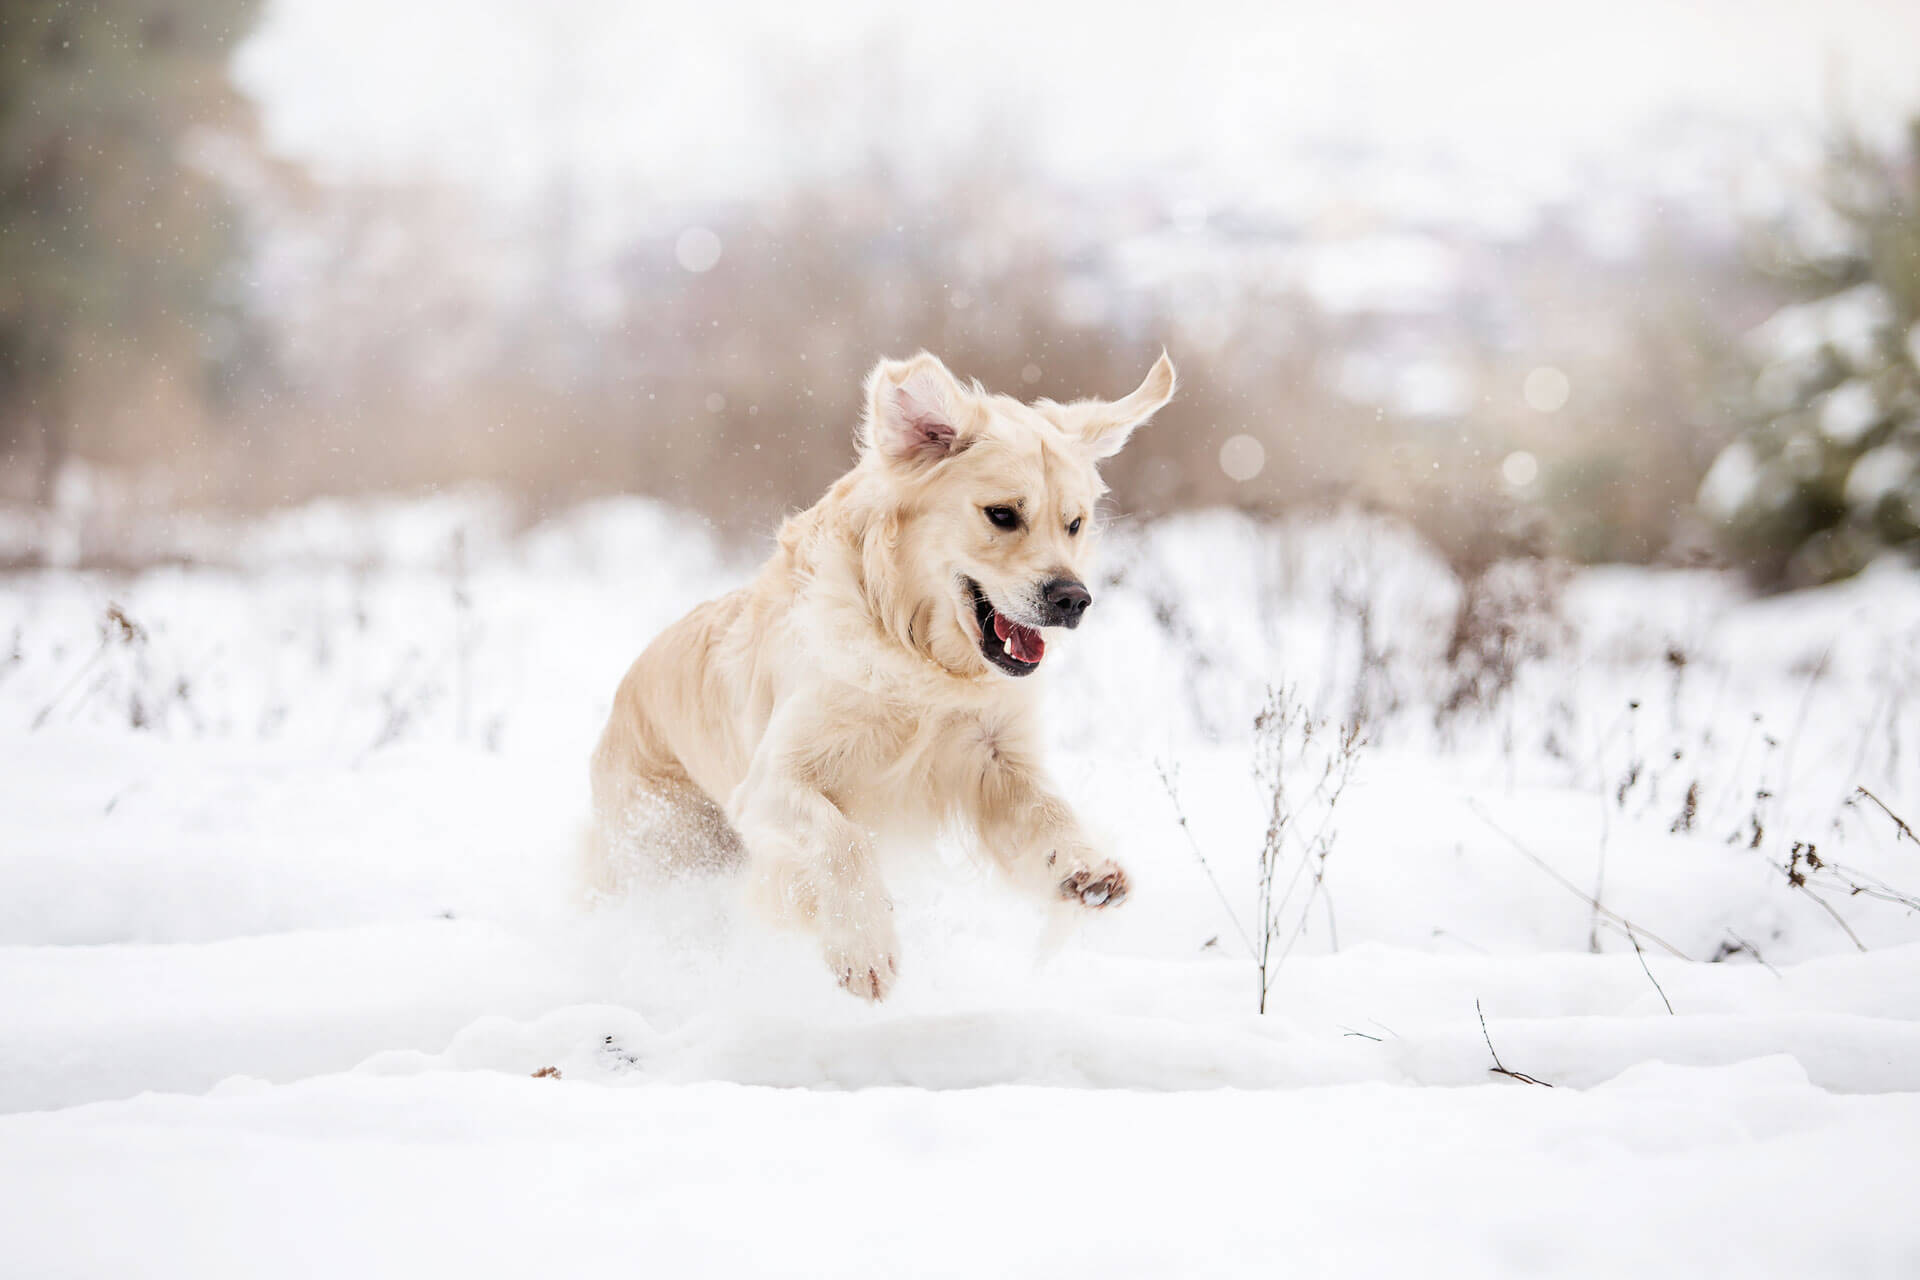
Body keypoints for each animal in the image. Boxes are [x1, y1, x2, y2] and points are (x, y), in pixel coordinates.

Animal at [591, 351, 1175, 997]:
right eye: (1002, 515)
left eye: (1074, 523)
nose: (1074, 599)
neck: (922, 657)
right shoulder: (770, 781)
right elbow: (841, 838)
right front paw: (864, 948)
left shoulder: (995, 757)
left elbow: (1048, 810)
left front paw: (1086, 868)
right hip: (663, 846)